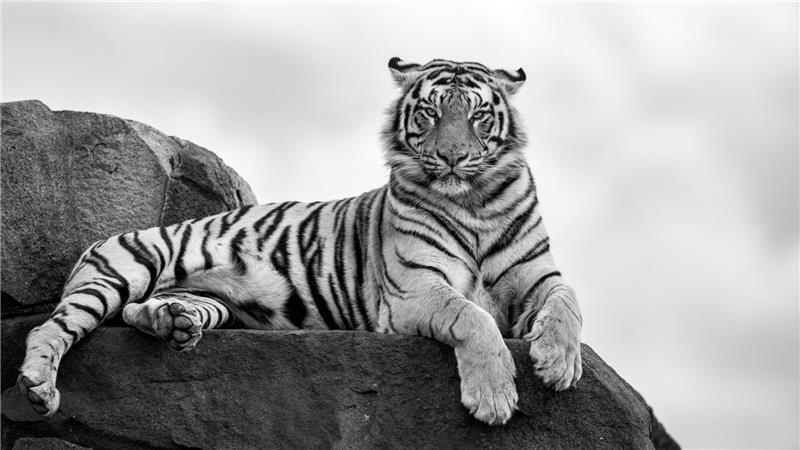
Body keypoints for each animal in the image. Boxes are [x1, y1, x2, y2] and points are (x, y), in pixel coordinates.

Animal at [17, 57, 583, 426]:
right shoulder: (415, 291)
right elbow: (474, 318)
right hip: (126, 266)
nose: (451, 158)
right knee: (53, 327)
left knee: (144, 312)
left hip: (210, 304)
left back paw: (172, 323)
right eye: (430, 113)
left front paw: (558, 363)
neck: (474, 202)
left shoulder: (538, 278)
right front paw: (494, 397)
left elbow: (568, 303)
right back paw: (38, 388)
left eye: (478, 115)